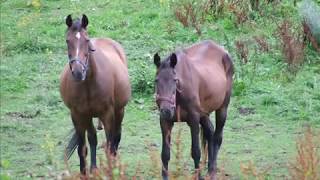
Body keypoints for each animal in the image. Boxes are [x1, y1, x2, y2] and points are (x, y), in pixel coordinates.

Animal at [60, 14, 130, 174]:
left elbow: (110, 144)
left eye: (86, 40)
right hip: (88, 117)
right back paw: (93, 168)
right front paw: (85, 172)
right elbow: (83, 148)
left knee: (116, 137)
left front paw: (110, 171)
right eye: (67, 40)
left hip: (119, 110)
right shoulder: (78, 115)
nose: (78, 72)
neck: (88, 85)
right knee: (93, 138)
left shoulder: (107, 114)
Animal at [154, 40, 234, 179]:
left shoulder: (194, 119)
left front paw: (199, 176)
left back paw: (212, 171)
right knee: (210, 132)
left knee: (217, 137)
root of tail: (224, 52)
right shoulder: (165, 122)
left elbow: (196, 151)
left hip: (222, 108)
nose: (166, 111)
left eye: (175, 80)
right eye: (156, 80)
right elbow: (165, 154)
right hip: (204, 114)